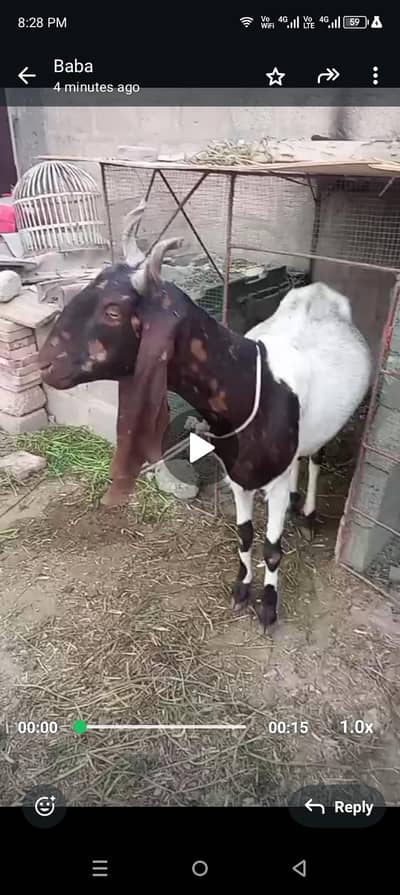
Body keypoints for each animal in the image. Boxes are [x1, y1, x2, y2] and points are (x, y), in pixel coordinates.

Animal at [38, 201, 372, 629]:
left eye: (113, 310)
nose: (45, 364)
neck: (252, 385)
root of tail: (320, 294)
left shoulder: (273, 481)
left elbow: (272, 548)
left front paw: (268, 607)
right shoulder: (238, 477)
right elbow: (245, 536)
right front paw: (241, 591)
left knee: (316, 458)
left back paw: (310, 512)